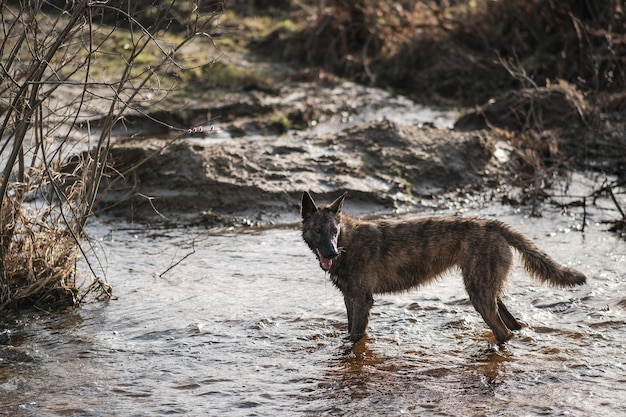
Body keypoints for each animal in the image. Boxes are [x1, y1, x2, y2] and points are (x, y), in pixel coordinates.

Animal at [300, 190, 584, 342]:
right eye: (318, 230)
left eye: (334, 231)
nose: (331, 252)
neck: (347, 242)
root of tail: (492, 224)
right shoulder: (350, 299)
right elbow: (349, 332)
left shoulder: (362, 301)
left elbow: (354, 338)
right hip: (488, 292)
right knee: (513, 325)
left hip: (479, 295)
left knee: (503, 333)